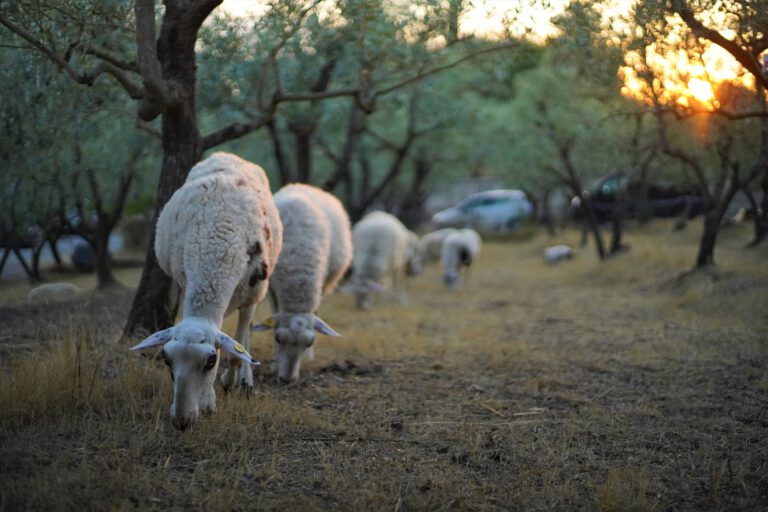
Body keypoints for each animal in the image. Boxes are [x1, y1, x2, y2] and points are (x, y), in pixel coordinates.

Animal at [130, 151, 284, 428]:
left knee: (244, 337)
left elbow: (236, 351)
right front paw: (210, 402)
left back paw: (244, 379)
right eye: (165, 359)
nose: (182, 421)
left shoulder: (253, 295)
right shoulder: (185, 280)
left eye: (211, 361)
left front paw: (230, 382)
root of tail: (225, 154)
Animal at [252, 184, 354, 384]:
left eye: (310, 342)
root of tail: (304, 185)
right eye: (278, 339)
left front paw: (308, 356)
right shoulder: (273, 287)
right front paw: (275, 360)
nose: (287, 379)